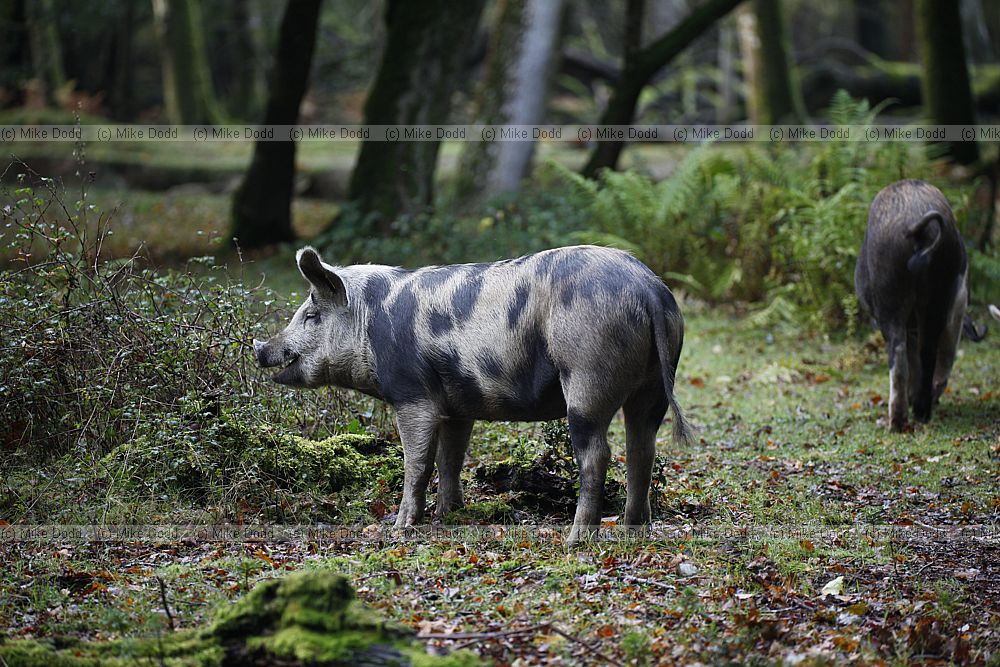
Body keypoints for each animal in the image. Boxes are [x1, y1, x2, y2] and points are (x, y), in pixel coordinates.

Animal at [254, 245, 692, 542]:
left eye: (312, 316)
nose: (260, 348)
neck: (368, 322)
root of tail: (648, 289)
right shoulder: (457, 404)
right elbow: (450, 459)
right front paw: (448, 513)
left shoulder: (413, 394)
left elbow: (417, 462)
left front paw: (399, 527)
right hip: (653, 383)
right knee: (641, 448)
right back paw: (634, 528)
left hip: (586, 374)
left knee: (598, 454)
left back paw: (575, 539)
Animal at [854, 180, 970, 432]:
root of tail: (920, 231)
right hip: (939, 290)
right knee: (928, 351)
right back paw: (921, 413)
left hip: (890, 295)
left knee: (898, 356)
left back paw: (896, 424)